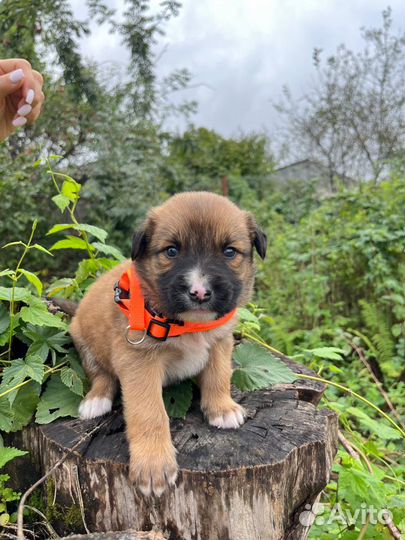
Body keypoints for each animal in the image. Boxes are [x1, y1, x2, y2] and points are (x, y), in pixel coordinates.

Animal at [69, 192, 266, 496]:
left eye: (229, 252)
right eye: (171, 251)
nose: (199, 292)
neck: (188, 324)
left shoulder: (220, 342)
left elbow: (219, 376)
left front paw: (222, 408)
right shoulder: (138, 361)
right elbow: (149, 412)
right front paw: (153, 464)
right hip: (83, 339)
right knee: (100, 375)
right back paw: (96, 400)